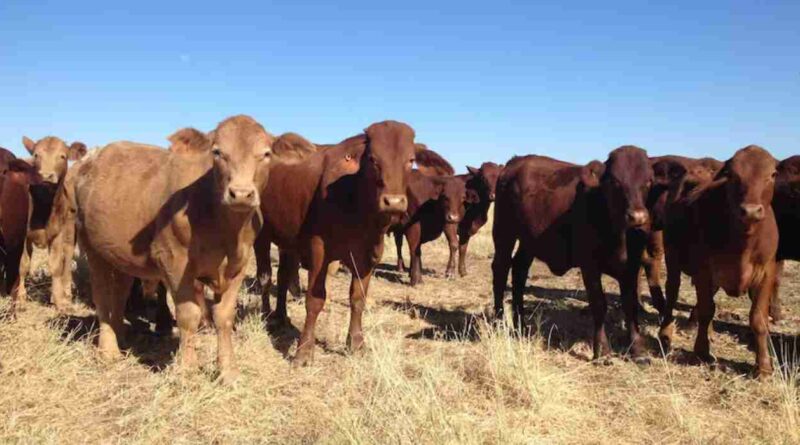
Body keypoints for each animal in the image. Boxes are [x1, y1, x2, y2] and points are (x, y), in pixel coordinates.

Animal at [66, 115, 272, 382]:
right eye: (217, 152)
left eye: (266, 153)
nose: (241, 193)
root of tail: (92, 157)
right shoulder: (174, 260)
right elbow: (188, 314)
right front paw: (187, 370)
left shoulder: (240, 264)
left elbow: (224, 316)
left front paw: (229, 372)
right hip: (92, 247)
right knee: (102, 296)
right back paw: (108, 351)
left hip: (119, 254)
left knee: (119, 293)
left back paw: (121, 337)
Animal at [255, 119, 418, 364]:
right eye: (373, 159)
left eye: (410, 160)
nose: (394, 202)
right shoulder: (319, 251)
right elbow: (314, 299)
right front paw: (304, 351)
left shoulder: (367, 256)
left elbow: (358, 299)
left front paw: (356, 343)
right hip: (261, 236)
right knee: (265, 276)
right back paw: (267, 316)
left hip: (288, 242)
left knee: (283, 277)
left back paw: (281, 317)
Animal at [490, 147, 652, 362]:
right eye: (615, 181)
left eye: (648, 181)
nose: (637, 217)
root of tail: (514, 162)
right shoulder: (589, 266)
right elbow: (599, 305)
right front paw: (602, 351)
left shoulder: (631, 267)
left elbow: (630, 305)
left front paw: (637, 349)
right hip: (504, 233)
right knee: (500, 271)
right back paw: (498, 322)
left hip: (529, 241)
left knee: (519, 272)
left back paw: (521, 327)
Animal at [660, 145, 780, 374]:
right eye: (733, 175)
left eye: (772, 174)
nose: (750, 211)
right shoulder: (704, 271)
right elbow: (707, 310)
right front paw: (701, 352)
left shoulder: (767, 273)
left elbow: (758, 319)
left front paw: (763, 367)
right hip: (671, 256)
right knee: (671, 292)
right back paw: (665, 334)